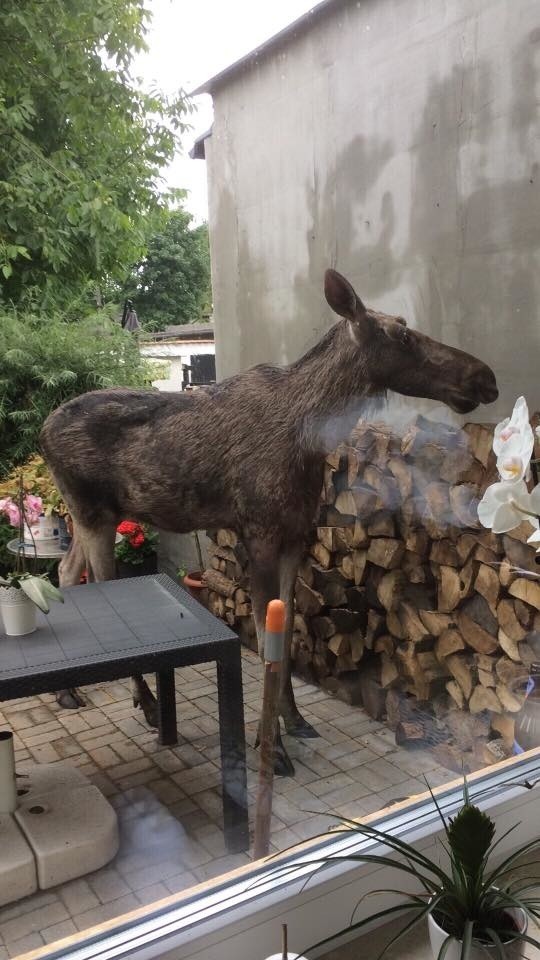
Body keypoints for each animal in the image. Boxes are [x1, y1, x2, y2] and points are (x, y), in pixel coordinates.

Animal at [41, 268, 498, 772]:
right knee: (96, 580)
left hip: (94, 514)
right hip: (92, 511)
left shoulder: (296, 534)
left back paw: (69, 693)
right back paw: (146, 704)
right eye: (401, 333)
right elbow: (264, 637)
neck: (310, 435)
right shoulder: (258, 532)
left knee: (66, 571)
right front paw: (271, 746)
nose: (485, 377)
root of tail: (42, 432)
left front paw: (294, 719)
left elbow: (291, 624)